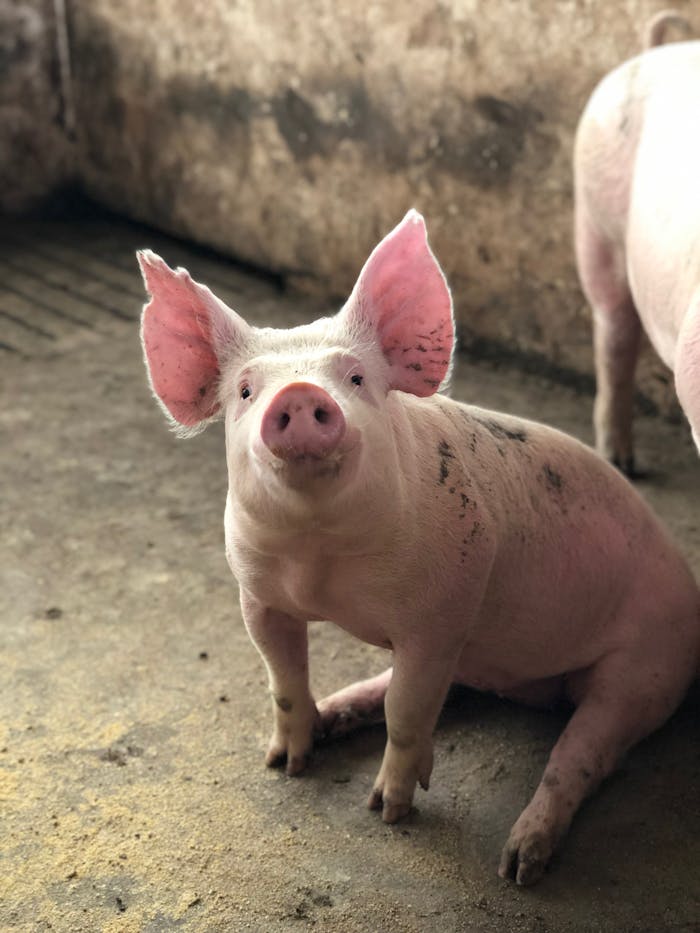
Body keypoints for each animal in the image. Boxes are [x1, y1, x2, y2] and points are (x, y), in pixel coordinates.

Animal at [138, 210, 700, 885]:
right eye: (245, 392)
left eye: (356, 379)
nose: (298, 394)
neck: (321, 559)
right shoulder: (257, 594)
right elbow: (283, 676)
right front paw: (284, 764)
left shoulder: (442, 611)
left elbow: (407, 711)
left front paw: (387, 811)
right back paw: (334, 717)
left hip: (649, 664)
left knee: (582, 753)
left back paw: (519, 864)